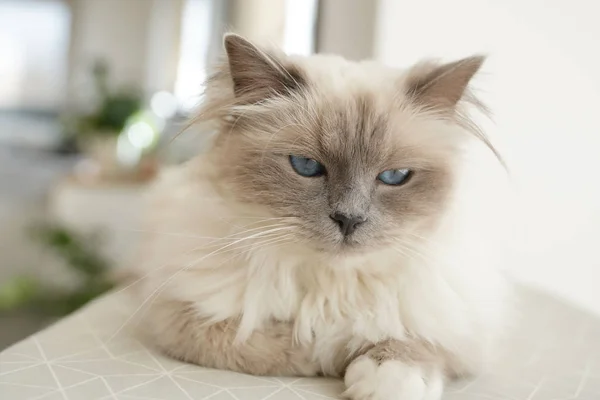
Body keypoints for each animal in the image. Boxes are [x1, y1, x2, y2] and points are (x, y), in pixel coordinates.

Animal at [130, 35, 510, 400]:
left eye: (395, 176)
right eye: (306, 166)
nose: (349, 219)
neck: (330, 285)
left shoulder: (460, 326)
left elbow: (416, 341)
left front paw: (383, 377)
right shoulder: (182, 315)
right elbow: (283, 345)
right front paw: (334, 354)